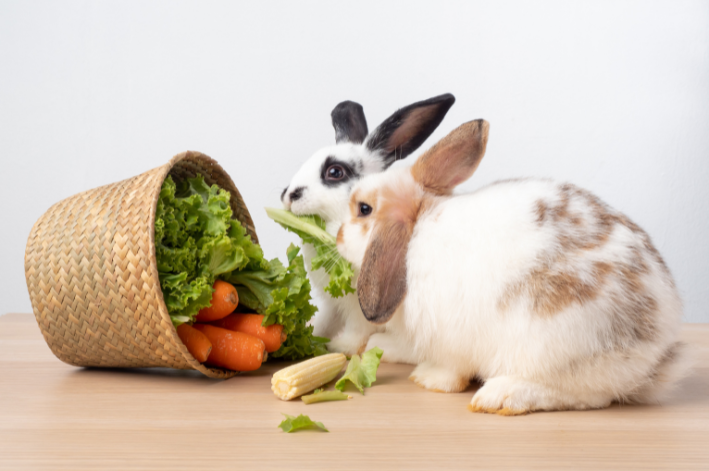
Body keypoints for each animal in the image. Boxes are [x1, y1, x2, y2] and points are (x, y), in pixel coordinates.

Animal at [280, 93, 456, 354]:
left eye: (335, 172)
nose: (289, 195)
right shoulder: (333, 302)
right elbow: (325, 320)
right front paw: (315, 337)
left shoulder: (362, 304)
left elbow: (357, 329)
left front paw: (342, 346)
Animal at [338, 120, 692, 414]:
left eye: (363, 209)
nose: (338, 237)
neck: (415, 233)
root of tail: (656, 352)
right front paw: (381, 346)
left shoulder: (450, 336)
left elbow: (451, 370)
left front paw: (428, 379)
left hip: (554, 344)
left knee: (589, 395)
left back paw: (502, 396)